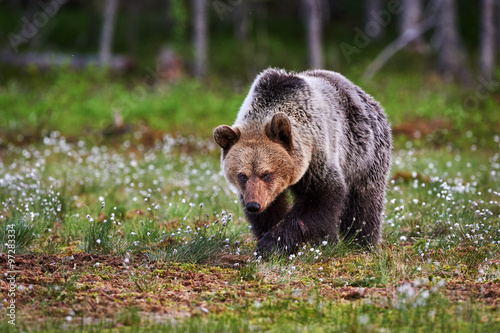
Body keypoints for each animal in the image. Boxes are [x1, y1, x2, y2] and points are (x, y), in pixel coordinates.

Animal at [213, 67, 392, 254]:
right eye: (242, 176)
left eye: (267, 174)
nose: (253, 205)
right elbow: (271, 210)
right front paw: (269, 236)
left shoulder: (317, 156)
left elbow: (320, 198)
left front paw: (272, 243)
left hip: (364, 154)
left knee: (364, 204)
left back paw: (363, 243)